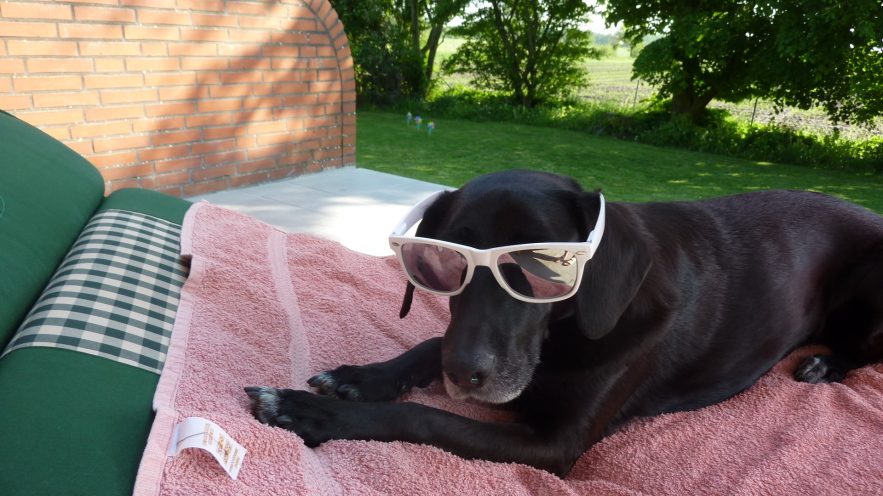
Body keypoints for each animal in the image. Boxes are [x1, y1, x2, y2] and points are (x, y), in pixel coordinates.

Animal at [246, 169, 883, 477]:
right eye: (446, 263)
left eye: (539, 268)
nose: (465, 375)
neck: (562, 337)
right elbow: (429, 341)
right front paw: (364, 375)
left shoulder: (554, 446)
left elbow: (422, 418)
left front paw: (311, 412)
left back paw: (826, 364)